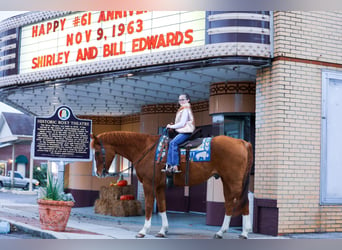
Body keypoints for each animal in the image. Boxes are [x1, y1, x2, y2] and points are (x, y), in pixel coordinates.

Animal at [91, 131, 254, 238]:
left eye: (97, 152)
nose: (99, 173)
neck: (146, 150)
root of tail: (242, 142)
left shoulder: (149, 184)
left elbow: (149, 206)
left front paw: (143, 231)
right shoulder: (159, 186)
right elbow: (162, 206)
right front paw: (163, 230)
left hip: (234, 182)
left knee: (244, 203)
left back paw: (244, 233)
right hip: (227, 181)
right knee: (229, 204)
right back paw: (221, 232)